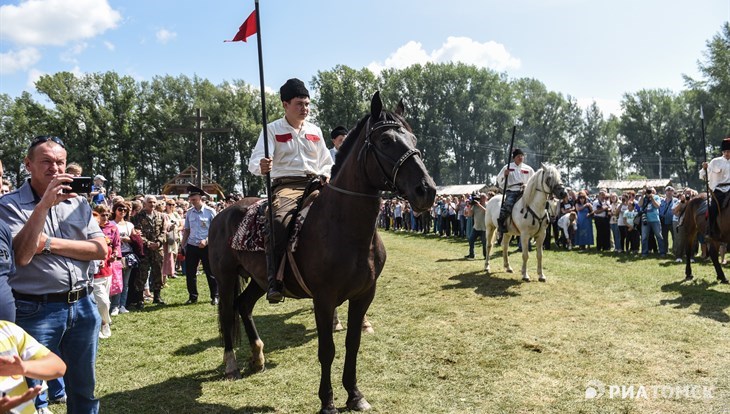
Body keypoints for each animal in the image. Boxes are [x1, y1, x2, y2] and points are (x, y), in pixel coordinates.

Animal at [208, 91, 436, 414]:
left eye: (413, 138)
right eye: (386, 140)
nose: (426, 191)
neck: (344, 227)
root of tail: (221, 214)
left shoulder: (364, 294)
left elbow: (353, 343)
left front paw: (354, 394)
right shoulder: (324, 298)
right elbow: (327, 349)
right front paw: (327, 401)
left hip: (260, 280)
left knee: (244, 306)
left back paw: (258, 357)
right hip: (226, 278)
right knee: (228, 312)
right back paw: (231, 366)